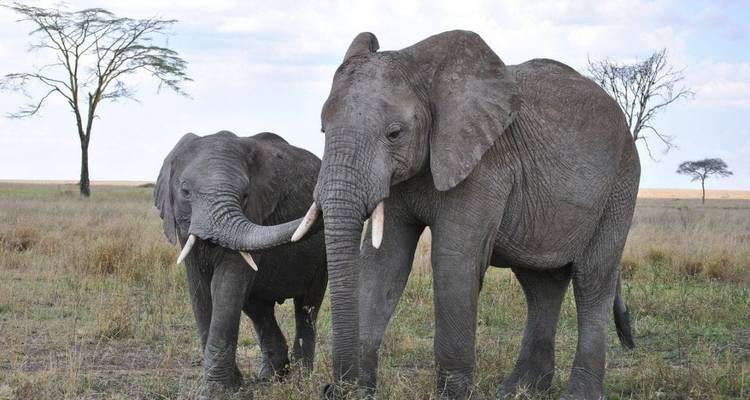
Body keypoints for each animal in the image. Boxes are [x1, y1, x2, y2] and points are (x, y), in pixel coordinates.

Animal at [154, 131, 327, 399]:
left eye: (245, 195)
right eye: (185, 191)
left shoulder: (255, 212)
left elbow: (226, 285)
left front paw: (215, 392)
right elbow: (200, 292)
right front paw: (232, 385)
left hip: (321, 257)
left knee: (307, 305)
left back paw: (298, 380)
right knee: (258, 307)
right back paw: (270, 376)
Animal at [285, 30, 639, 399]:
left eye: (394, 134)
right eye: (323, 131)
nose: (332, 387)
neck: (424, 72)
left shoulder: (484, 165)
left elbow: (452, 262)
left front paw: (450, 395)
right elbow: (384, 263)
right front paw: (360, 392)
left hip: (620, 184)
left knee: (592, 280)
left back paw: (575, 393)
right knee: (541, 285)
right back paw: (518, 390)